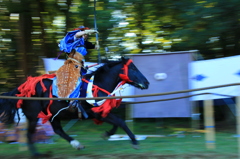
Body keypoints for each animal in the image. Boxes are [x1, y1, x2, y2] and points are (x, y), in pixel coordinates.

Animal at [0, 56, 149, 157]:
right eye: (133, 68)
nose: (146, 82)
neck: (97, 85)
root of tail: (21, 89)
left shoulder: (101, 112)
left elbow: (117, 122)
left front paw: (107, 134)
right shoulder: (95, 113)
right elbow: (120, 121)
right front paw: (134, 142)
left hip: (53, 115)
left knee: (58, 130)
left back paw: (76, 144)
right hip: (33, 116)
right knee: (30, 134)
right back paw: (37, 154)